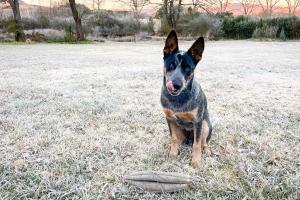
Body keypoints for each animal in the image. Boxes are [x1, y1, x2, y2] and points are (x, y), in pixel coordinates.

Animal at [161, 30, 212, 167]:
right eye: (171, 65)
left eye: (188, 68)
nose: (176, 84)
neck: (178, 100)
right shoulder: (169, 119)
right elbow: (173, 138)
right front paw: (173, 153)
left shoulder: (198, 121)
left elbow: (197, 144)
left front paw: (196, 161)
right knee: (178, 139)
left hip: (205, 125)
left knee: (203, 142)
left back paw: (206, 150)